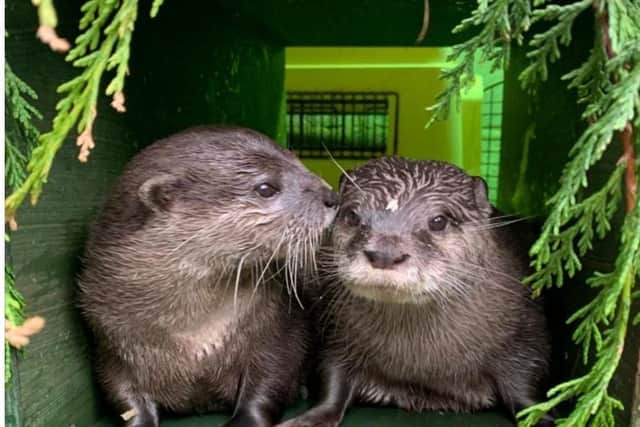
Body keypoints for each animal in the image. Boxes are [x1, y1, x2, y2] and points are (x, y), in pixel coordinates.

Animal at [78, 126, 339, 427]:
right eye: (265, 188)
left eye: (297, 160)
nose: (332, 197)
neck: (193, 334)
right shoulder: (111, 344)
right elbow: (124, 396)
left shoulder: (277, 330)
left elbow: (268, 383)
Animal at [278, 157, 552, 427]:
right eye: (352, 215)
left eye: (439, 221)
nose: (385, 253)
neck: (422, 365)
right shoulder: (335, 335)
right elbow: (332, 380)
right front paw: (309, 418)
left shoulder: (525, 337)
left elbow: (526, 389)